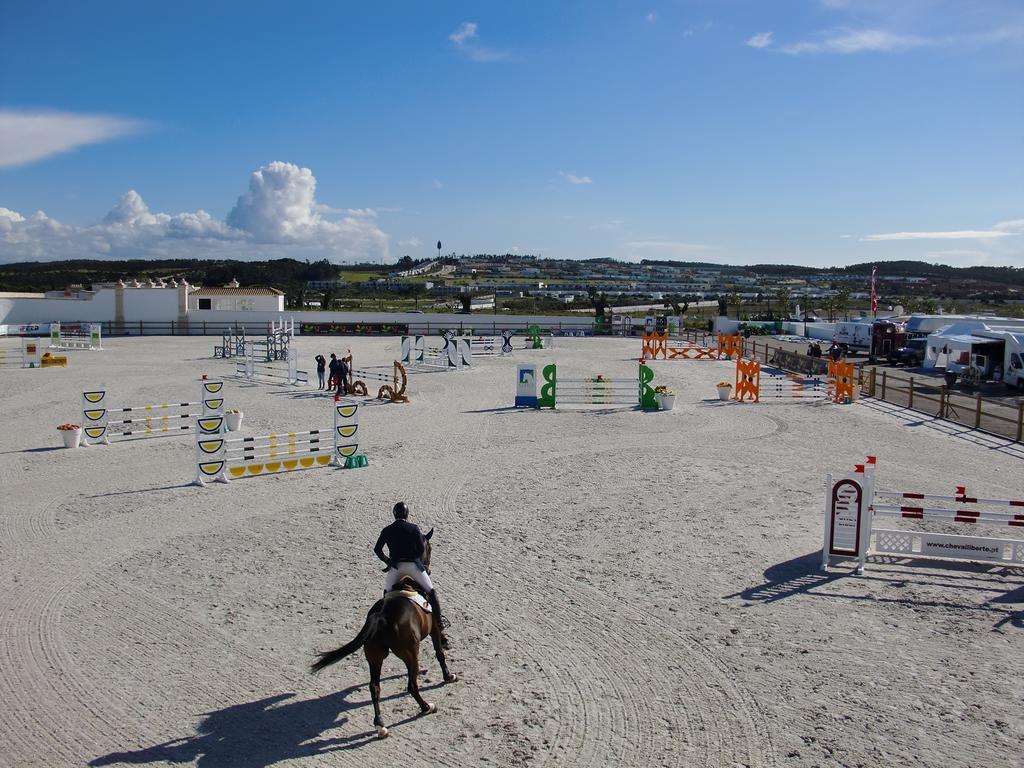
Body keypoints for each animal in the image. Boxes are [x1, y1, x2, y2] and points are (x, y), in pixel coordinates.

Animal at [309, 528, 458, 737]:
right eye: (429, 548)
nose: (428, 569)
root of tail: (381, 617)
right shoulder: (434, 630)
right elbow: (440, 653)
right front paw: (448, 676)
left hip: (375, 656)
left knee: (375, 687)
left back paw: (381, 725)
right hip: (409, 653)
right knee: (411, 685)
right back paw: (426, 707)